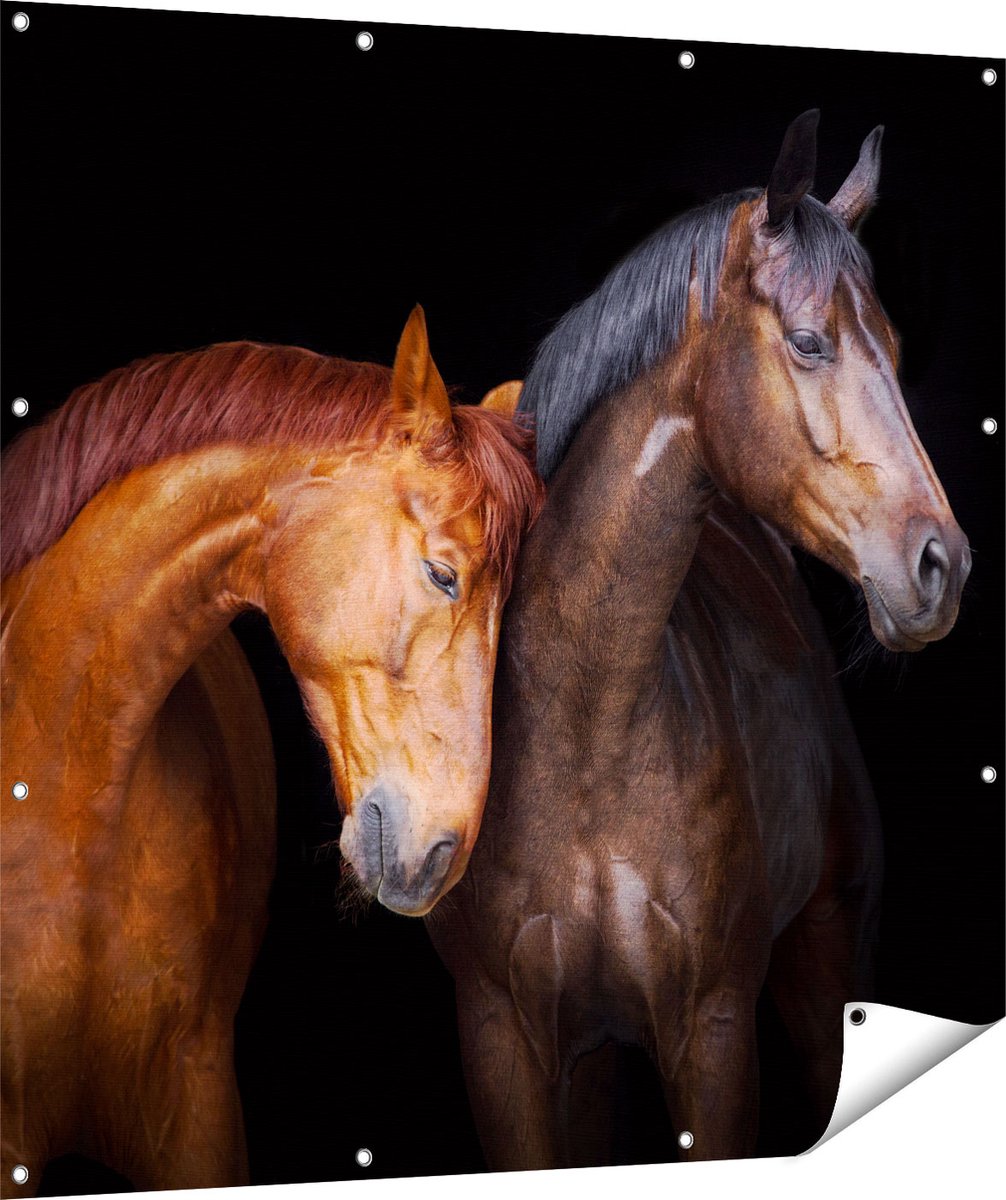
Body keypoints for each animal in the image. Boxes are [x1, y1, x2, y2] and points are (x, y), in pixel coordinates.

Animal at [425, 111, 971, 1169]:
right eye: (808, 341)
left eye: (892, 346)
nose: (943, 565)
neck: (587, 726)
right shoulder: (502, 1041)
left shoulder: (713, 1035)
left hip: (820, 982)